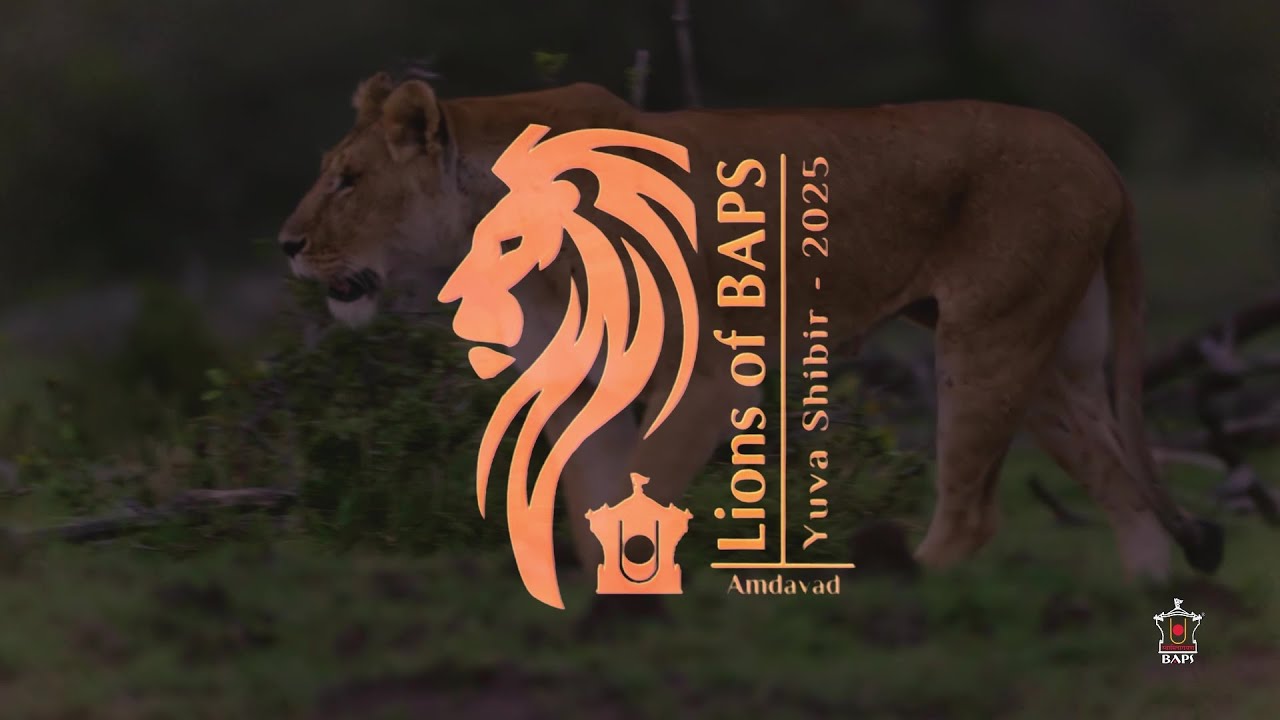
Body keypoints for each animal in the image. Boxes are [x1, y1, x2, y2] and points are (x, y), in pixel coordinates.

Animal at [278, 70, 1223, 610]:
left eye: (349, 179)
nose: (286, 244)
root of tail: (1097, 153)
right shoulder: (582, 377)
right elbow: (592, 499)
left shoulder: (710, 372)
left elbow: (642, 489)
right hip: (1050, 356)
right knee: (1127, 489)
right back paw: (1153, 605)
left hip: (987, 338)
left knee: (974, 514)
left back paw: (890, 592)